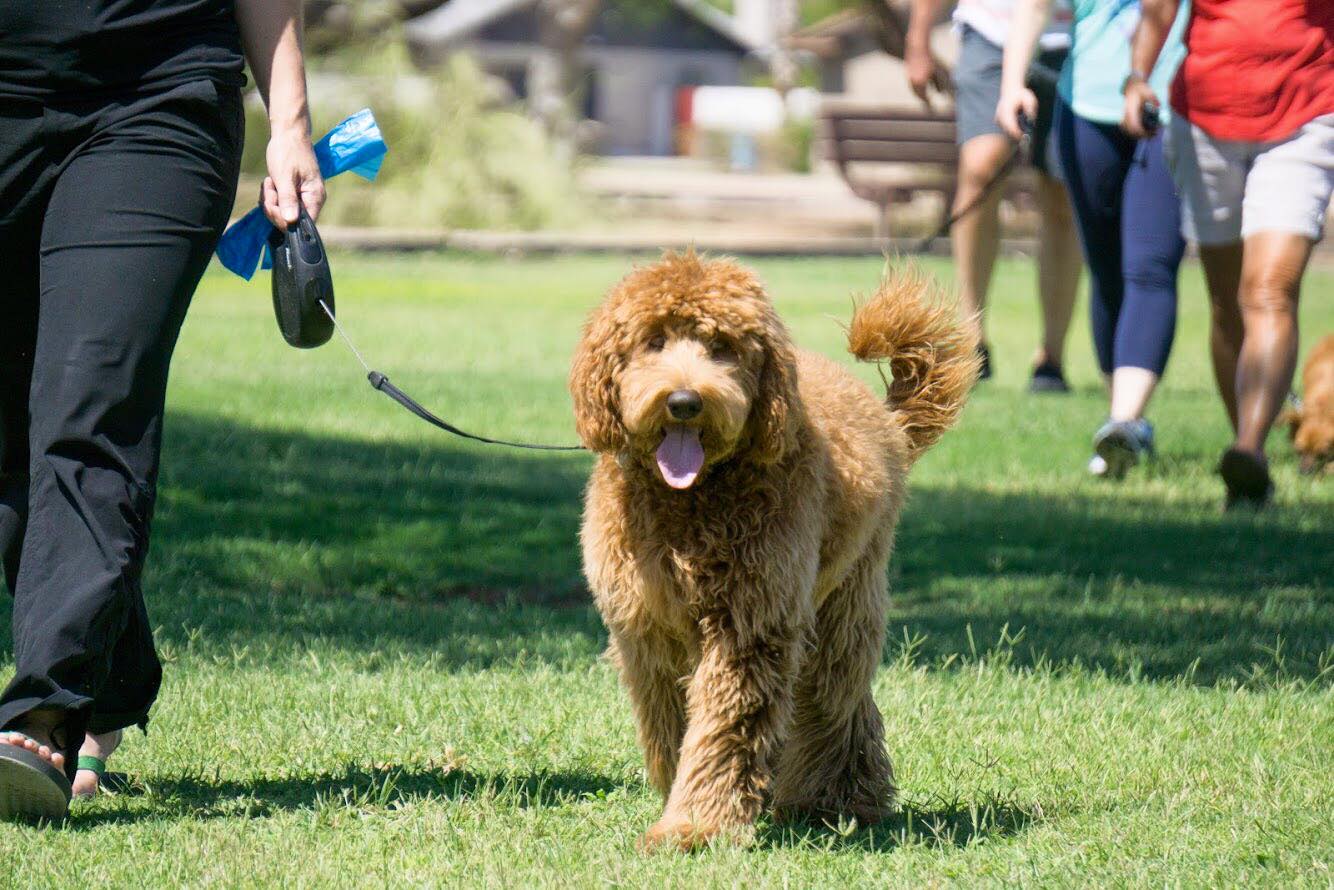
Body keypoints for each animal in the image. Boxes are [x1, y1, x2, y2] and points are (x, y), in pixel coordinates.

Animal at [565, 253, 981, 853]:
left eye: (722, 347)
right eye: (653, 341)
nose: (684, 402)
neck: (694, 496)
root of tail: (888, 422)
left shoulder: (750, 621)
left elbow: (723, 728)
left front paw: (697, 824)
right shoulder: (646, 628)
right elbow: (669, 720)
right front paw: (683, 798)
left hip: (843, 600)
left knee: (837, 701)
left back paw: (834, 799)